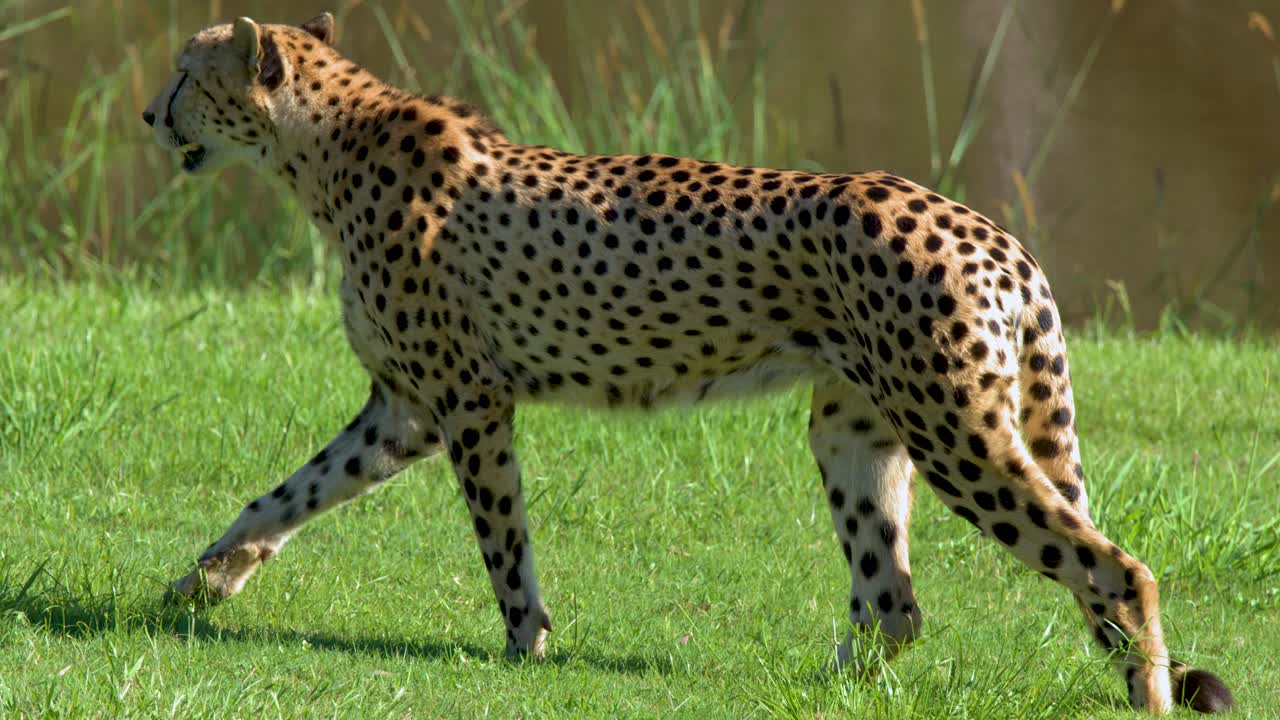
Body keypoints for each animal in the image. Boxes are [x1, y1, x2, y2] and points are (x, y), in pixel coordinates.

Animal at [142, 13, 1232, 713]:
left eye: (185, 78)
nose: (150, 117)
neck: (325, 146)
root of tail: (993, 233)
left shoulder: (467, 400)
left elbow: (502, 541)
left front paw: (524, 644)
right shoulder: (405, 406)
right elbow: (284, 495)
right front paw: (198, 584)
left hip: (955, 431)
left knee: (1115, 570)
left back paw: (1144, 693)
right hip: (854, 432)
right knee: (896, 603)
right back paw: (822, 691)